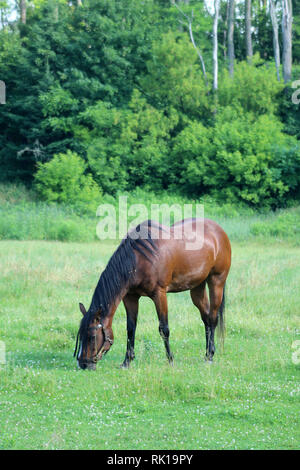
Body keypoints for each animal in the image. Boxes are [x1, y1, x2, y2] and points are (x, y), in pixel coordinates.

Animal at [74, 218, 231, 370]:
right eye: (80, 335)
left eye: (92, 336)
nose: (83, 364)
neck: (138, 260)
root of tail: (219, 231)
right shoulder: (130, 297)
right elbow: (130, 329)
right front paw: (127, 362)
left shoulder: (159, 294)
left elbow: (164, 329)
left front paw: (171, 360)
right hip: (197, 287)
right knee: (206, 318)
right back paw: (207, 354)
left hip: (216, 281)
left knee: (212, 318)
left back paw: (210, 356)